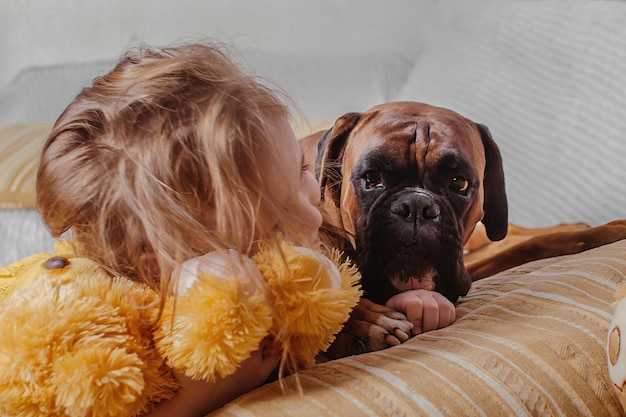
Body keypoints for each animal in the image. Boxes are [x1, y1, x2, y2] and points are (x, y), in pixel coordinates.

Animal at [304, 101, 626, 358]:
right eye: (371, 179)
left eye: (459, 182)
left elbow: (531, 245)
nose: (416, 206)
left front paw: (597, 233)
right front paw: (367, 322)